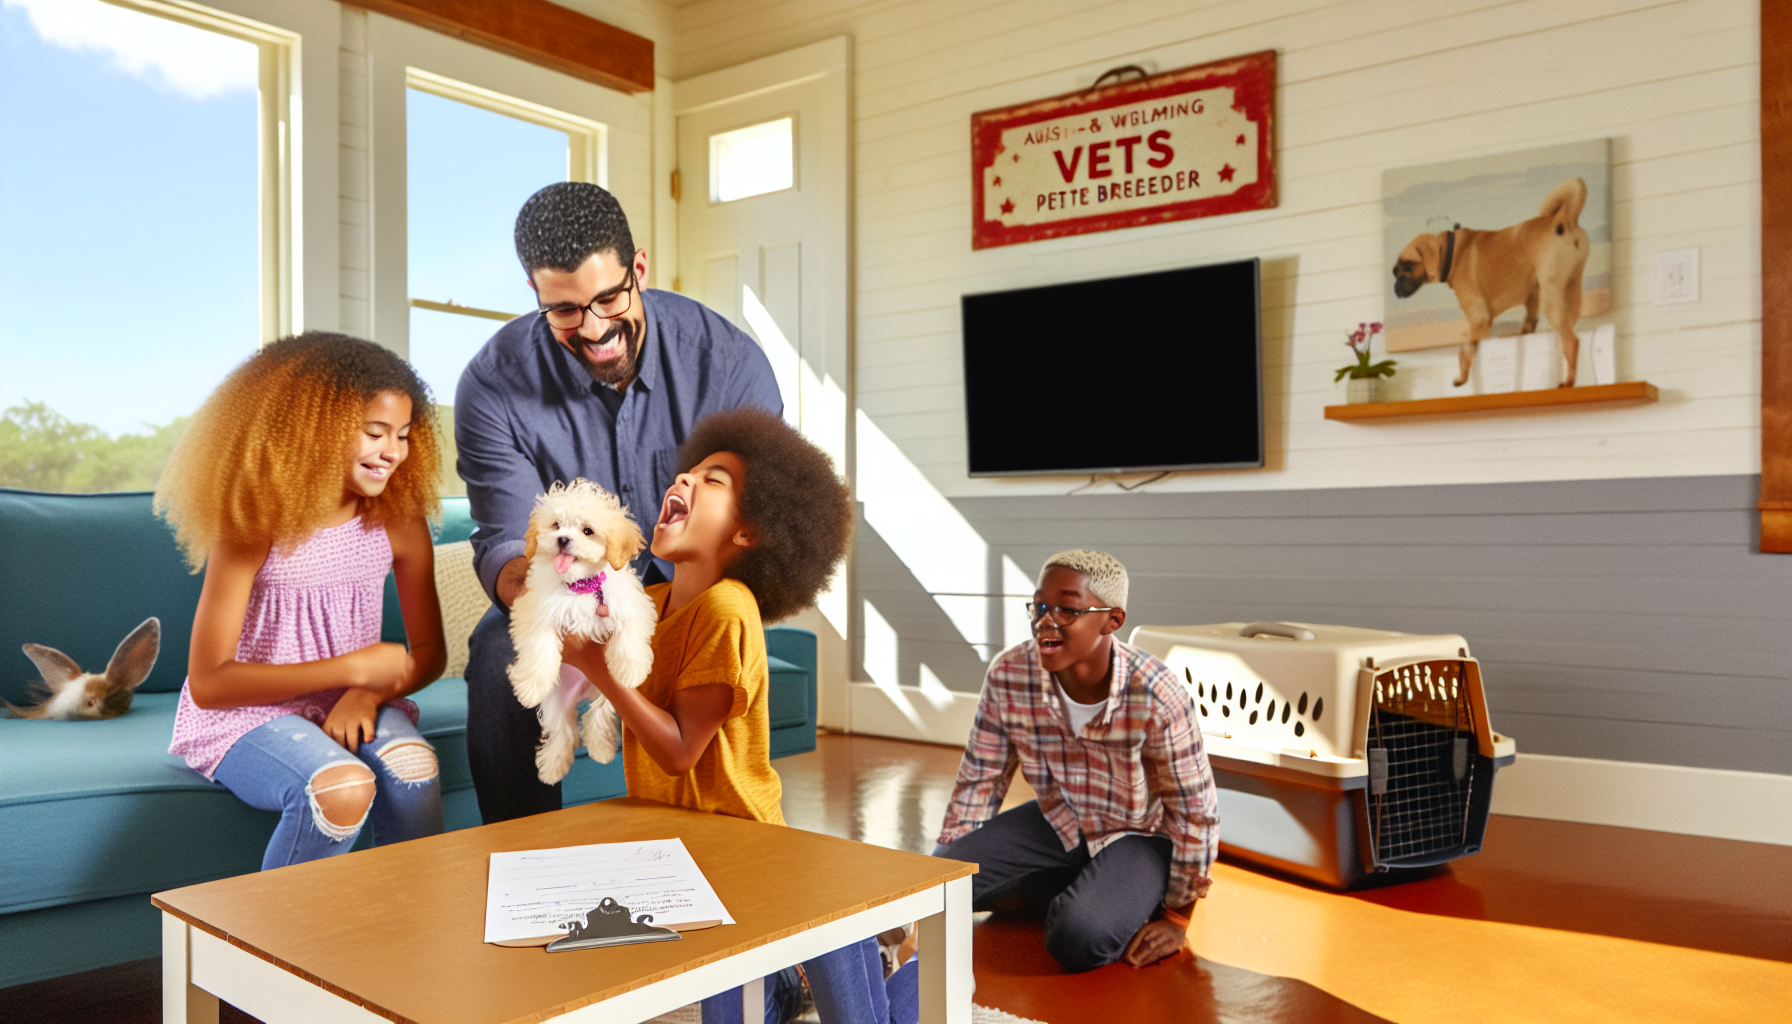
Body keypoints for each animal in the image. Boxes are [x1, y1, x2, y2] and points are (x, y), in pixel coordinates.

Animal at [505, 480, 659, 785]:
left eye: (587, 530)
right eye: (556, 525)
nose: (563, 539)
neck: (581, 585)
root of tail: (583, 692)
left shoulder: (631, 604)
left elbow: (630, 635)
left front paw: (630, 670)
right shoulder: (534, 610)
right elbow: (538, 647)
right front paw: (530, 687)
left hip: (608, 693)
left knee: (597, 715)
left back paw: (600, 749)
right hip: (558, 699)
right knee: (563, 730)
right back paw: (553, 767)